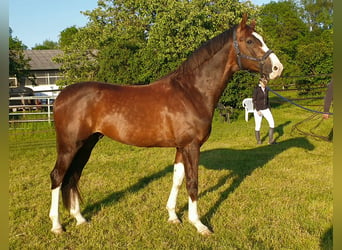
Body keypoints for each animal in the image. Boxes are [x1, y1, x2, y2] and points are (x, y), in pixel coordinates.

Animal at [48, 14, 284, 235]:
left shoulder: (181, 147)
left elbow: (177, 179)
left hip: (87, 144)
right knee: (58, 176)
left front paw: (173, 216)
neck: (191, 91)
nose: (277, 68)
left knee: (73, 177)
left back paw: (80, 219)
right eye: (250, 41)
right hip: (70, 146)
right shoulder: (191, 146)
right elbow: (192, 183)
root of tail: (60, 96)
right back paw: (57, 225)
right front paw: (198, 224)